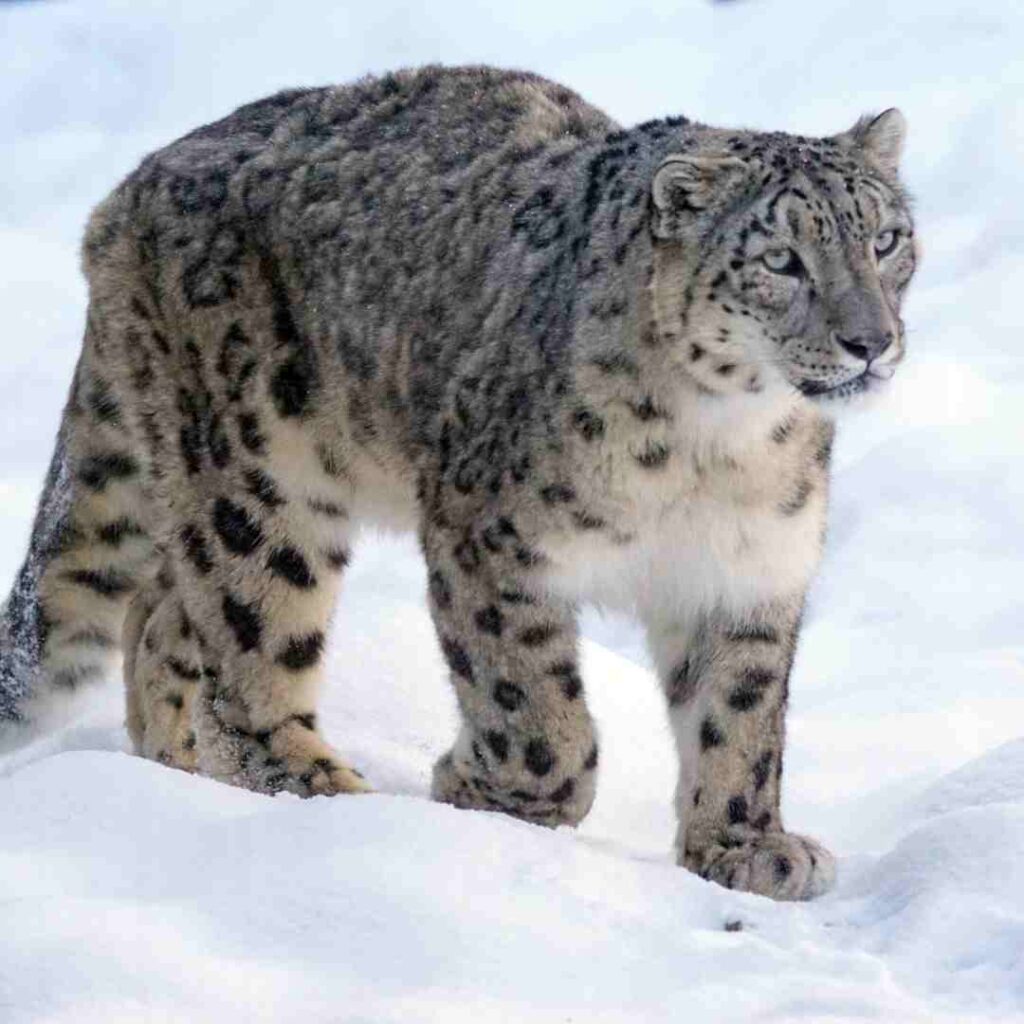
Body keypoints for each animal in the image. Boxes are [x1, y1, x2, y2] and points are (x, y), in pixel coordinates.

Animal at [0, 65, 917, 900]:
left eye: (886, 240)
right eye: (782, 259)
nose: (870, 340)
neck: (720, 447)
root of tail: (128, 190)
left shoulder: (749, 568)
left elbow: (741, 712)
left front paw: (744, 846)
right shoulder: (492, 540)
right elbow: (534, 705)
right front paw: (483, 788)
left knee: (160, 616)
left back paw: (171, 775)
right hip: (258, 486)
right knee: (246, 647)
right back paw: (321, 795)